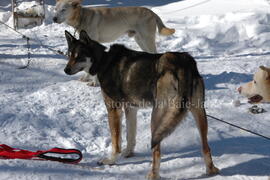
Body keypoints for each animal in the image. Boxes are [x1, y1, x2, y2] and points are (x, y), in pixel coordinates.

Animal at [63, 29, 219, 179]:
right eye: (69, 55)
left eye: (79, 56)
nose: (66, 70)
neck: (104, 61)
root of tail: (182, 63)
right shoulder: (131, 109)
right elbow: (130, 136)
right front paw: (128, 153)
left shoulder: (113, 110)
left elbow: (116, 142)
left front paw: (111, 160)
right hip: (199, 112)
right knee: (206, 147)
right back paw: (211, 170)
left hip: (156, 117)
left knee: (156, 151)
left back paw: (153, 175)